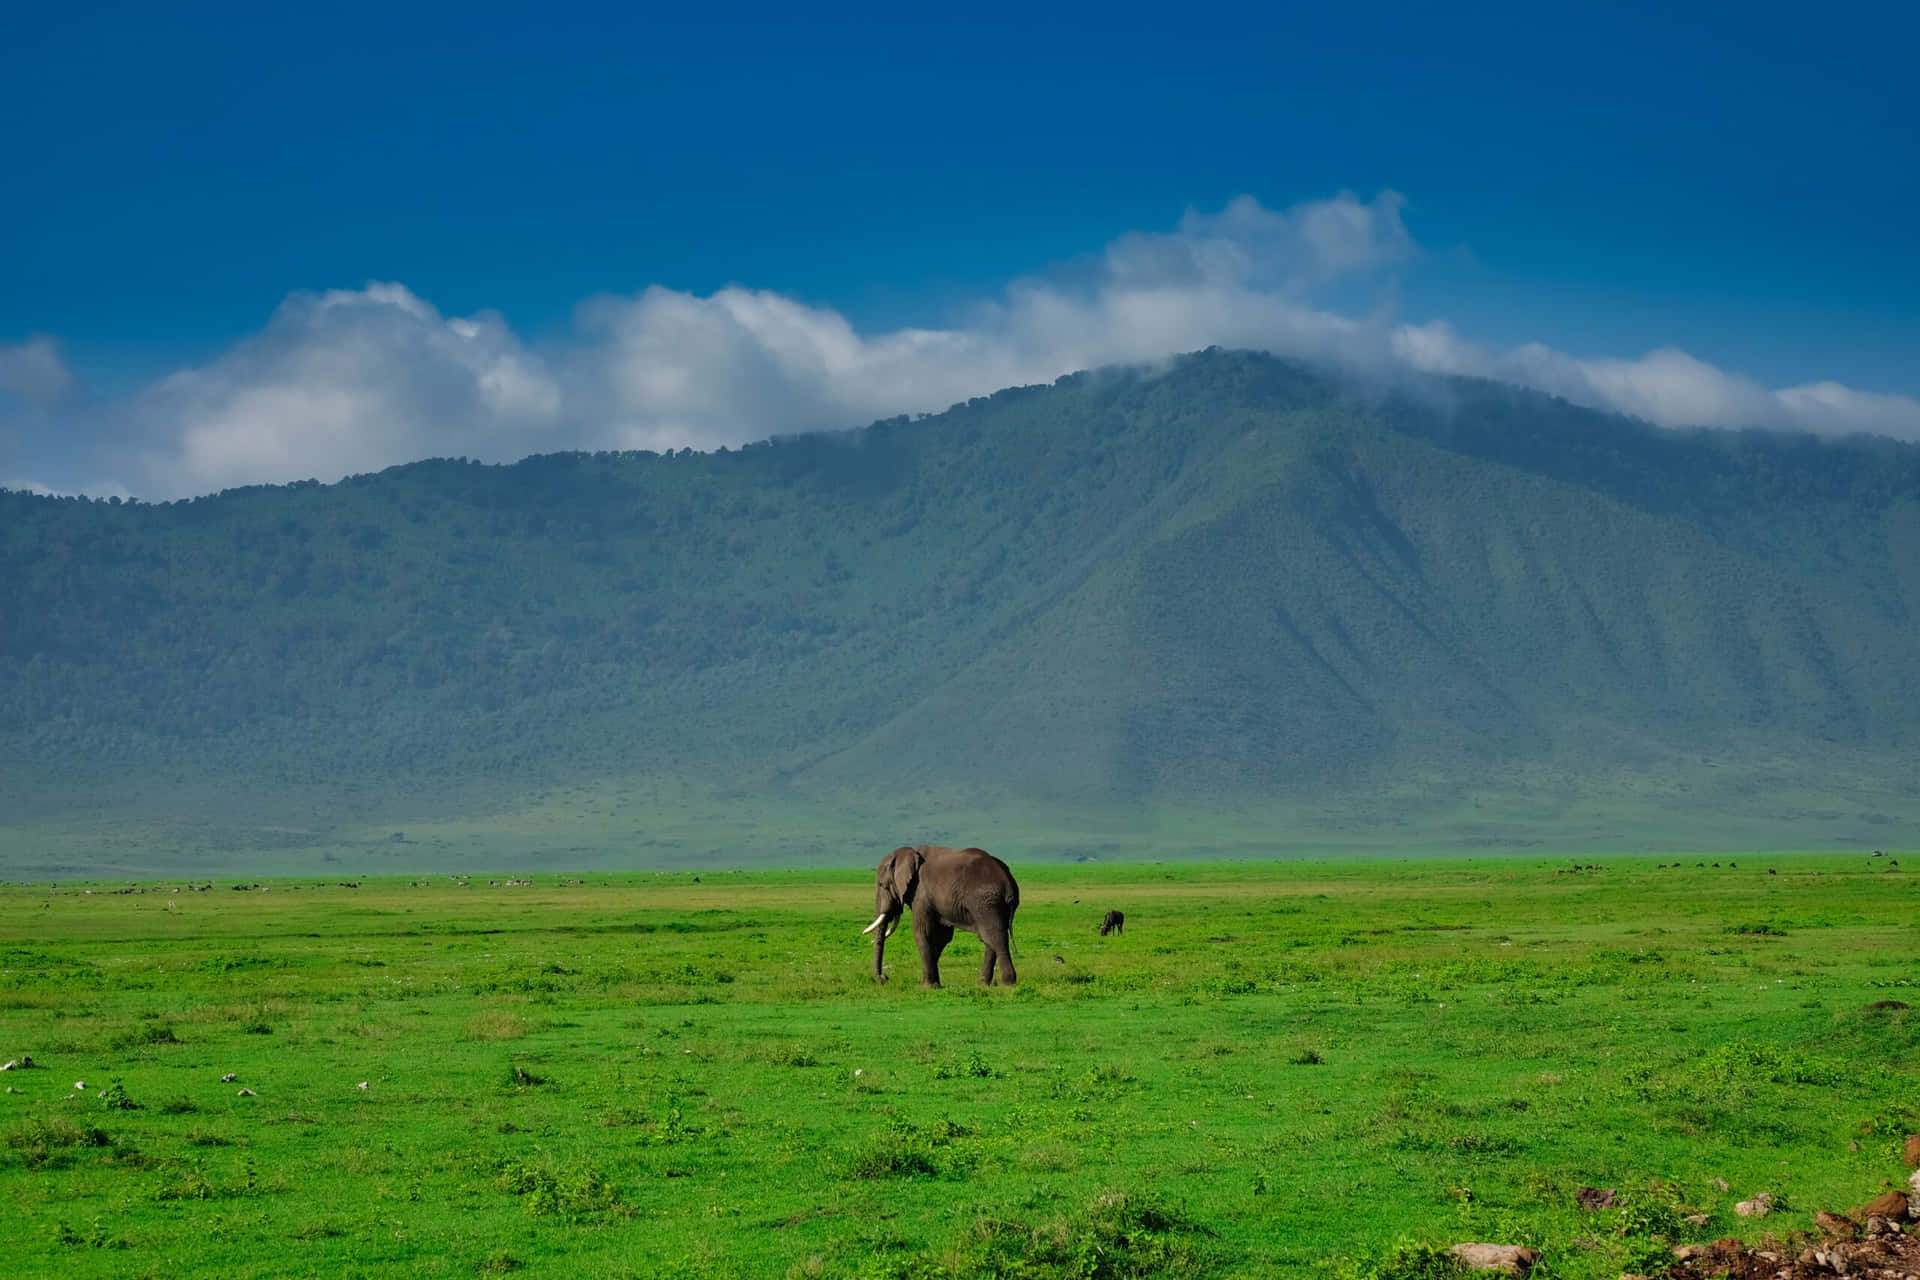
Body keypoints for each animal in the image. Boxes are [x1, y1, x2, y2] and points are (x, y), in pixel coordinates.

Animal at [867, 844, 1021, 990]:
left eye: (881, 884)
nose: (884, 978)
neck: (910, 854)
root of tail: (1008, 882)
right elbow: (942, 937)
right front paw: (935, 983)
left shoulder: (921, 894)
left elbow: (922, 932)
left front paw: (926, 987)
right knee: (990, 938)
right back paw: (983, 984)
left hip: (985, 902)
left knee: (994, 936)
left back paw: (1008, 983)